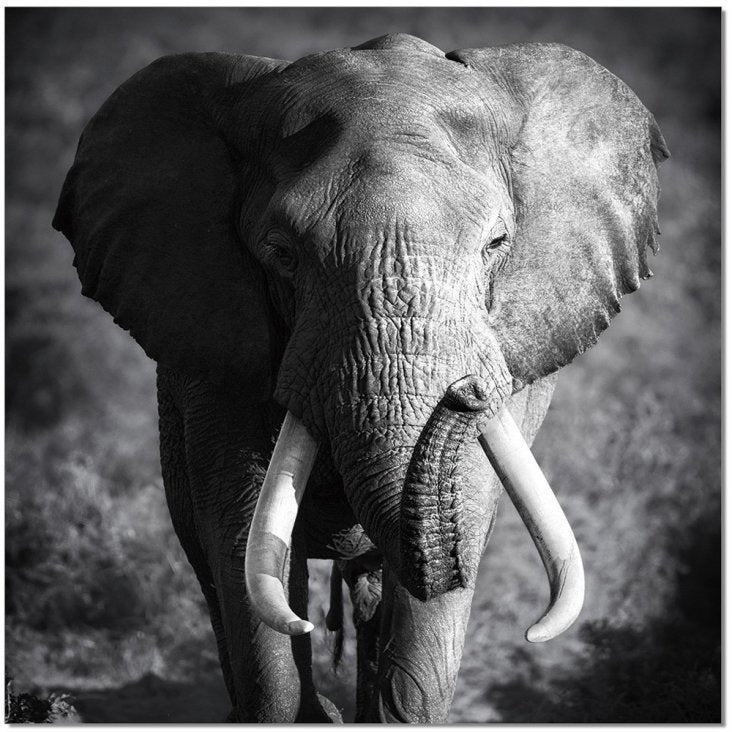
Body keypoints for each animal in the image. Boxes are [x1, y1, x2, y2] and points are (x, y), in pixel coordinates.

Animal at [53, 33, 668, 723]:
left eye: (497, 243)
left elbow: (462, 518)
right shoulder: (213, 355)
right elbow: (243, 532)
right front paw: (302, 708)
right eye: (282, 254)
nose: (466, 392)